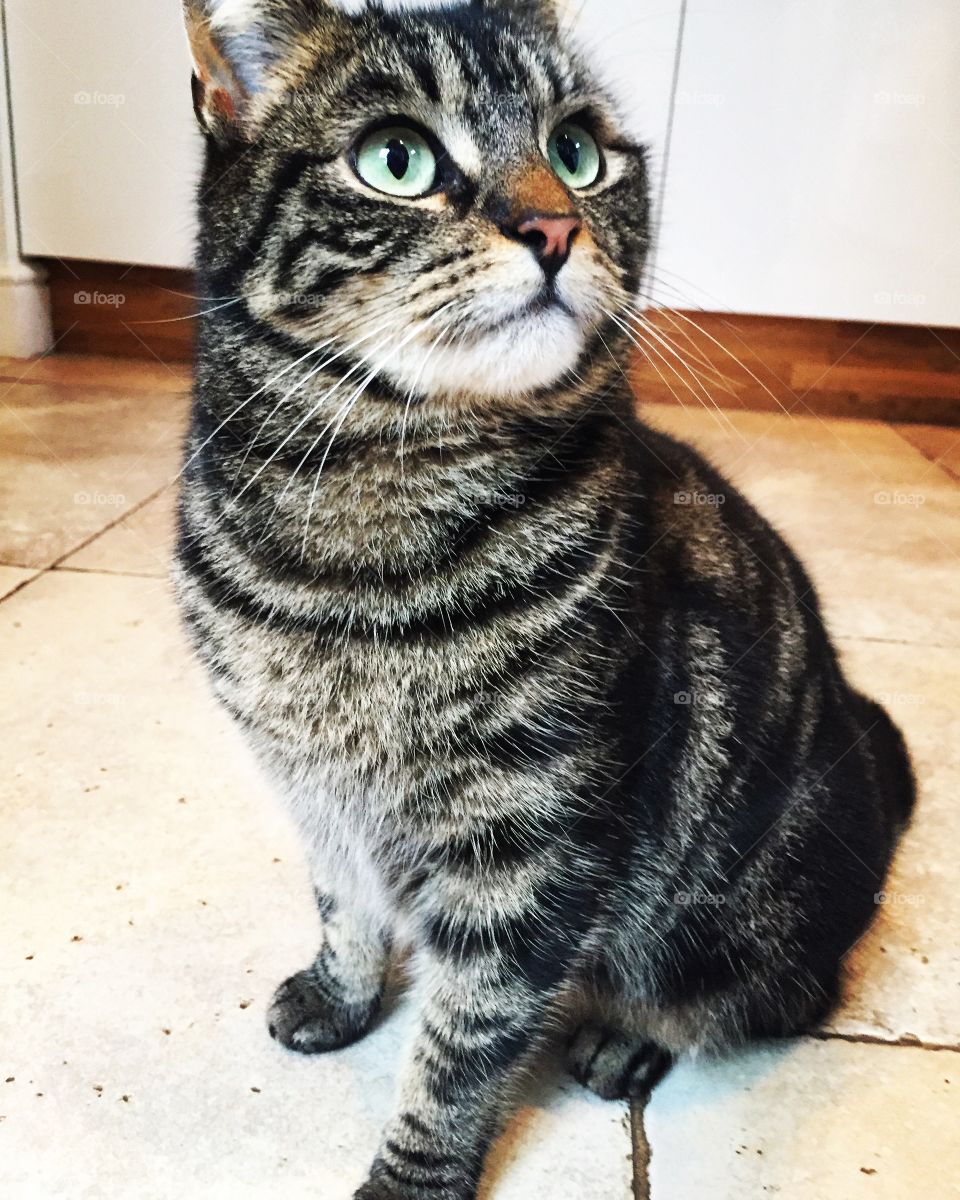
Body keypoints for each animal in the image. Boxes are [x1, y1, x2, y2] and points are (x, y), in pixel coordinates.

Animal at [174, 2, 916, 1200]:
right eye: (397, 160)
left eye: (575, 151)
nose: (555, 226)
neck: (349, 533)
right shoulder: (313, 784)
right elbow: (344, 901)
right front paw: (341, 992)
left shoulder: (530, 840)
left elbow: (464, 1040)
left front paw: (410, 1180)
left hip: (738, 917)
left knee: (766, 996)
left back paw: (625, 1038)